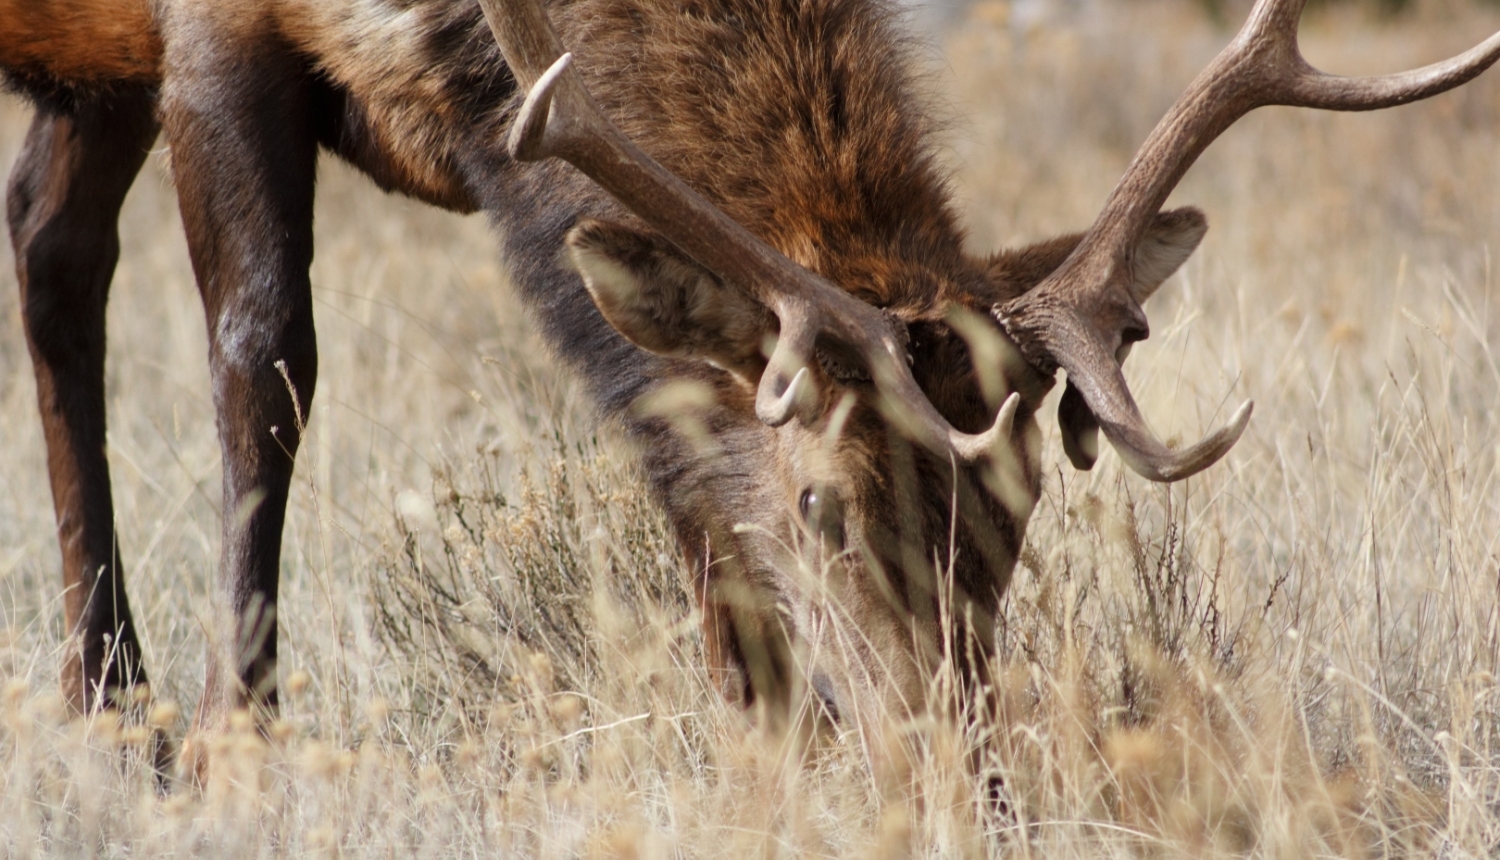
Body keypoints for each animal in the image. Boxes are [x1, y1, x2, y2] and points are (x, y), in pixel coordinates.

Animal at [2, 0, 1500, 762]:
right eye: (826, 509)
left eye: (1016, 516)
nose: (955, 759)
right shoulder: (211, 33)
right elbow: (264, 358)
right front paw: (232, 742)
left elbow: (673, 445)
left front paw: (761, 741)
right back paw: (121, 704)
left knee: (48, 243)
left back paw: (99, 692)